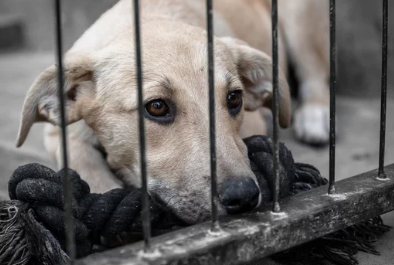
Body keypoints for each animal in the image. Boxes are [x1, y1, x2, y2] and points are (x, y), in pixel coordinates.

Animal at [15, 0, 330, 224]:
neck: (148, 19)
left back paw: (315, 115)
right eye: (157, 106)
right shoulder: (59, 134)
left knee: (315, 72)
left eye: (234, 98)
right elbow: (88, 165)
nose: (243, 196)